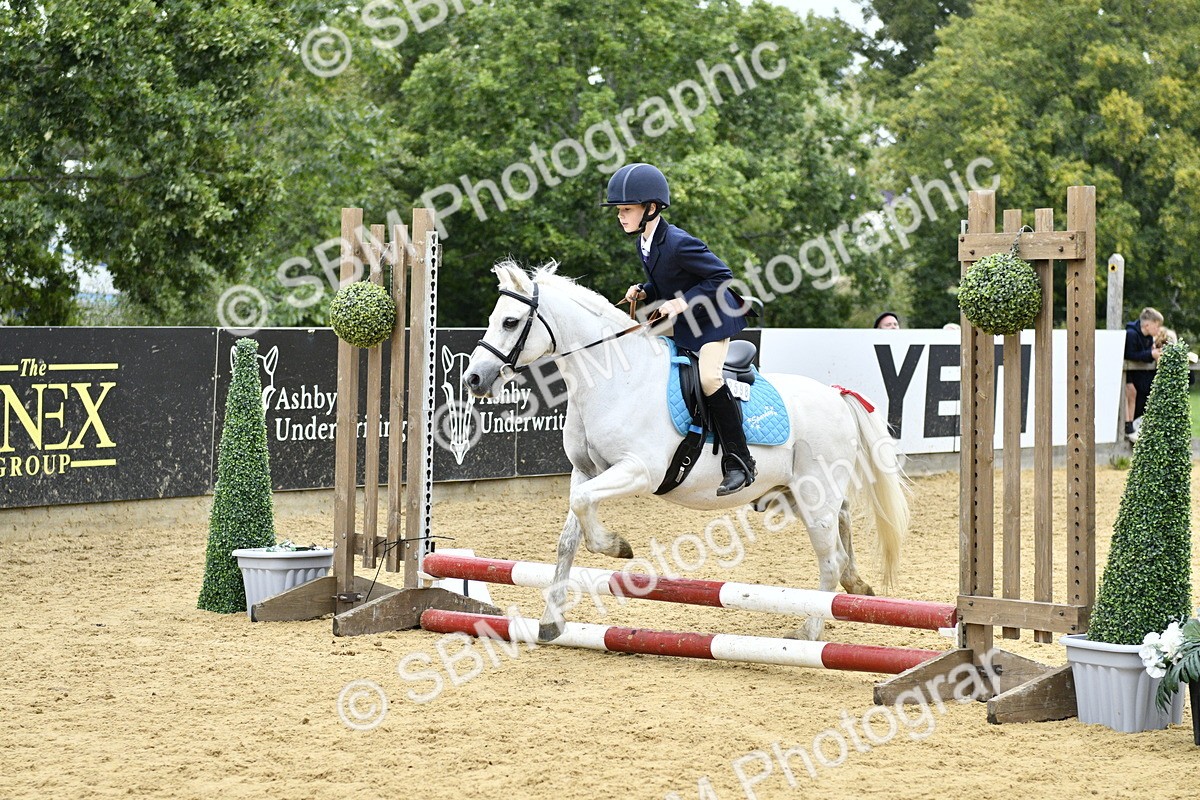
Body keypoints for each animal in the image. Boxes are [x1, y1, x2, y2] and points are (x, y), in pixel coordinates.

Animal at [462, 261, 910, 642]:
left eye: (510, 321)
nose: (473, 378)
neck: (613, 380)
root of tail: (837, 395)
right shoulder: (585, 471)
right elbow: (569, 535)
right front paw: (552, 621)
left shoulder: (638, 470)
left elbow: (585, 507)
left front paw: (617, 547)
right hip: (796, 494)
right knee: (843, 523)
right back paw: (856, 583)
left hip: (814, 492)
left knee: (829, 560)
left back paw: (810, 632)